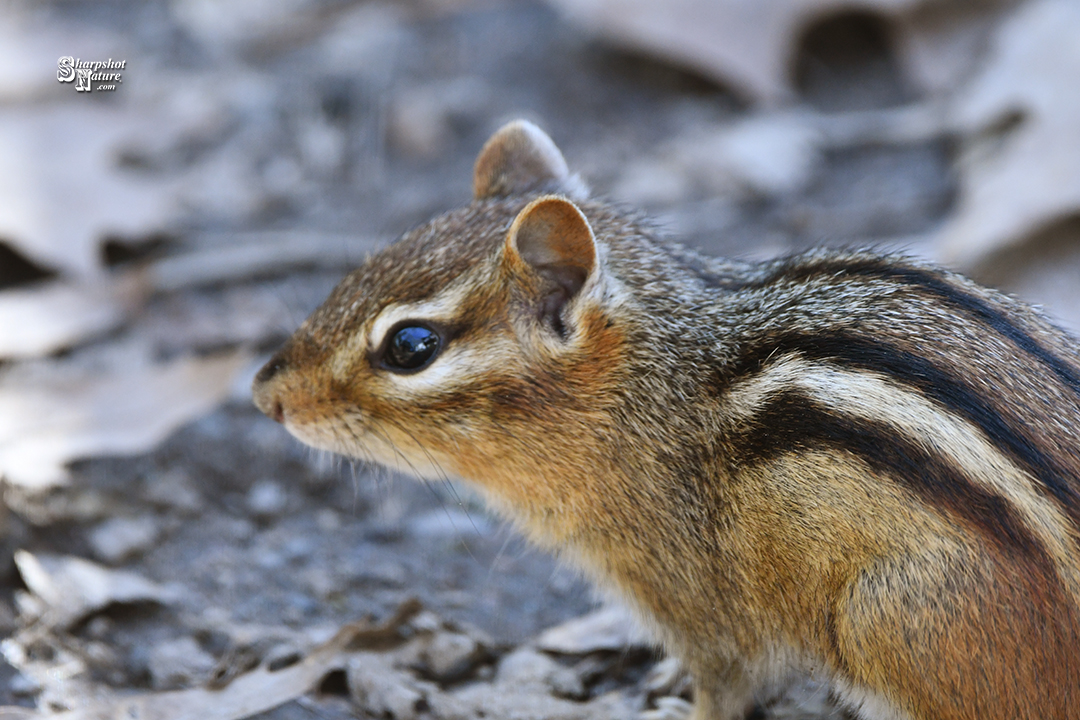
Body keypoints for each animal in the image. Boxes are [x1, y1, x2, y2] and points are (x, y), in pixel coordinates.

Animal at [252, 119, 1080, 720]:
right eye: (366, 265)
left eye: (410, 346)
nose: (265, 394)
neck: (654, 387)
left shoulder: (697, 607)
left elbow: (724, 689)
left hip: (886, 616)